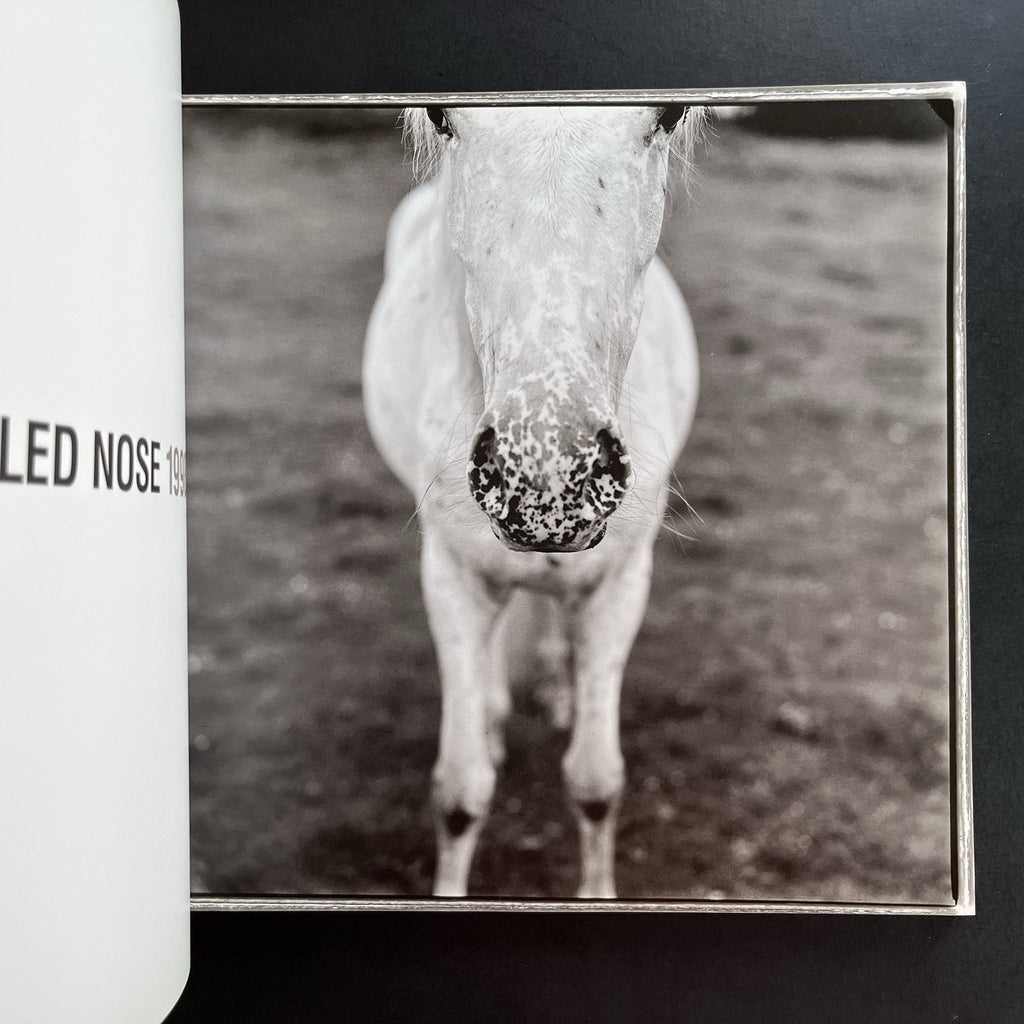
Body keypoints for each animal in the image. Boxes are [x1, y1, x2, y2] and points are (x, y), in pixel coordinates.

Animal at [363, 104, 704, 898]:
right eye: (439, 115)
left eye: (671, 110)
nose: (547, 470)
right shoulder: (451, 579)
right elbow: (459, 793)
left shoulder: (621, 584)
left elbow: (597, 782)